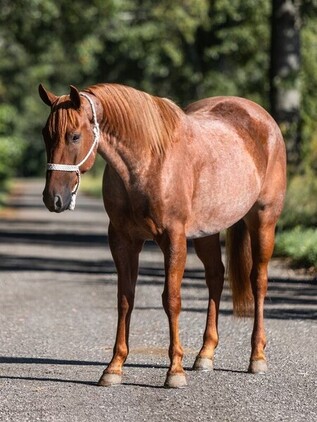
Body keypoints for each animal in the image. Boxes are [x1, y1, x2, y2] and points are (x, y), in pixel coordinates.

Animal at [38, 82, 286, 390]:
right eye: (45, 134)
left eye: (74, 136)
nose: (53, 199)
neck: (148, 162)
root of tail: (263, 119)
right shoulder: (122, 241)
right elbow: (125, 299)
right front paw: (114, 367)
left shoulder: (173, 239)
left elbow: (172, 300)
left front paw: (174, 371)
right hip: (207, 232)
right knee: (215, 277)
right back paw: (205, 355)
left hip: (263, 220)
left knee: (258, 282)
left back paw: (257, 357)